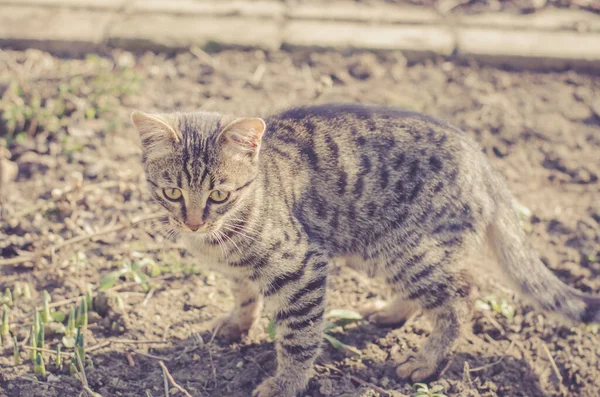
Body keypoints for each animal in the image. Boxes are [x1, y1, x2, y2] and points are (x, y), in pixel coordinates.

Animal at [132, 103, 600, 396]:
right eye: (172, 192)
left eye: (220, 194)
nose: (193, 221)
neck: (220, 239)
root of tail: (482, 159)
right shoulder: (240, 272)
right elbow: (244, 297)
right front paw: (235, 325)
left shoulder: (302, 267)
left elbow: (299, 337)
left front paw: (287, 383)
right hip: (388, 253)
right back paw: (389, 313)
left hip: (404, 252)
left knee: (461, 296)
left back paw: (426, 362)